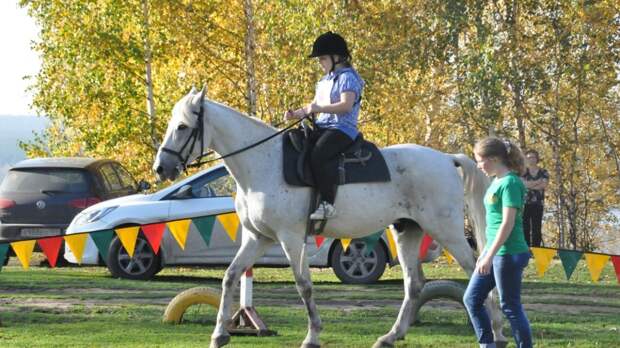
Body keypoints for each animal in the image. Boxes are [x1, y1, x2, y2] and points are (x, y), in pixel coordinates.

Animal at [153, 87, 506, 348]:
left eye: (182, 127)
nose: (161, 168)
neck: (263, 163)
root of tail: (446, 159)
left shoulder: (290, 238)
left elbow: (304, 285)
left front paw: (312, 336)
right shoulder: (258, 237)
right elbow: (230, 276)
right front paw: (219, 334)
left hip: (446, 230)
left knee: (478, 269)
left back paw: (499, 332)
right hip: (408, 231)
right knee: (414, 284)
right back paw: (390, 336)